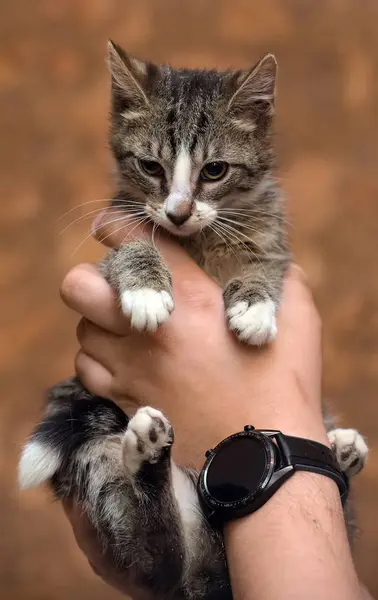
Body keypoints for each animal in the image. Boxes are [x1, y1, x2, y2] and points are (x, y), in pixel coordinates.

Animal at [19, 43, 368, 600]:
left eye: (215, 170)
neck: (199, 238)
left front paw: (255, 306)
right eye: (150, 166)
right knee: (156, 558)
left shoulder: (273, 239)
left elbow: (266, 266)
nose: (178, 212)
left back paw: (343, 449)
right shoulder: (120, 224)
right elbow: (128, 249)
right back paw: (149, 453)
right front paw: (145, 287)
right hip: (100, 468)